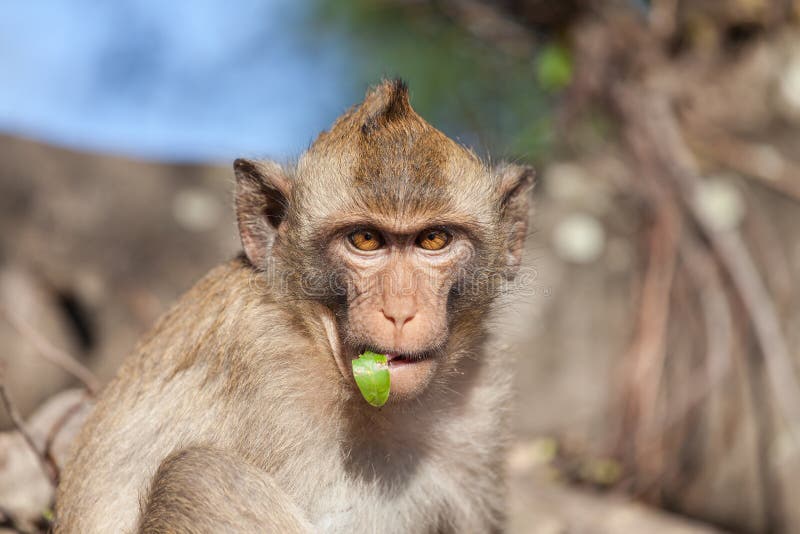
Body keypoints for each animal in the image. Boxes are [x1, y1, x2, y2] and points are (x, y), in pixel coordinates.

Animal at [55, 79, 534, 533]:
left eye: (434, 239)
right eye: (365, 239)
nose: (400, 311)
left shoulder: (479, 400)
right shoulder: (269, 374)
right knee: (198, 475)